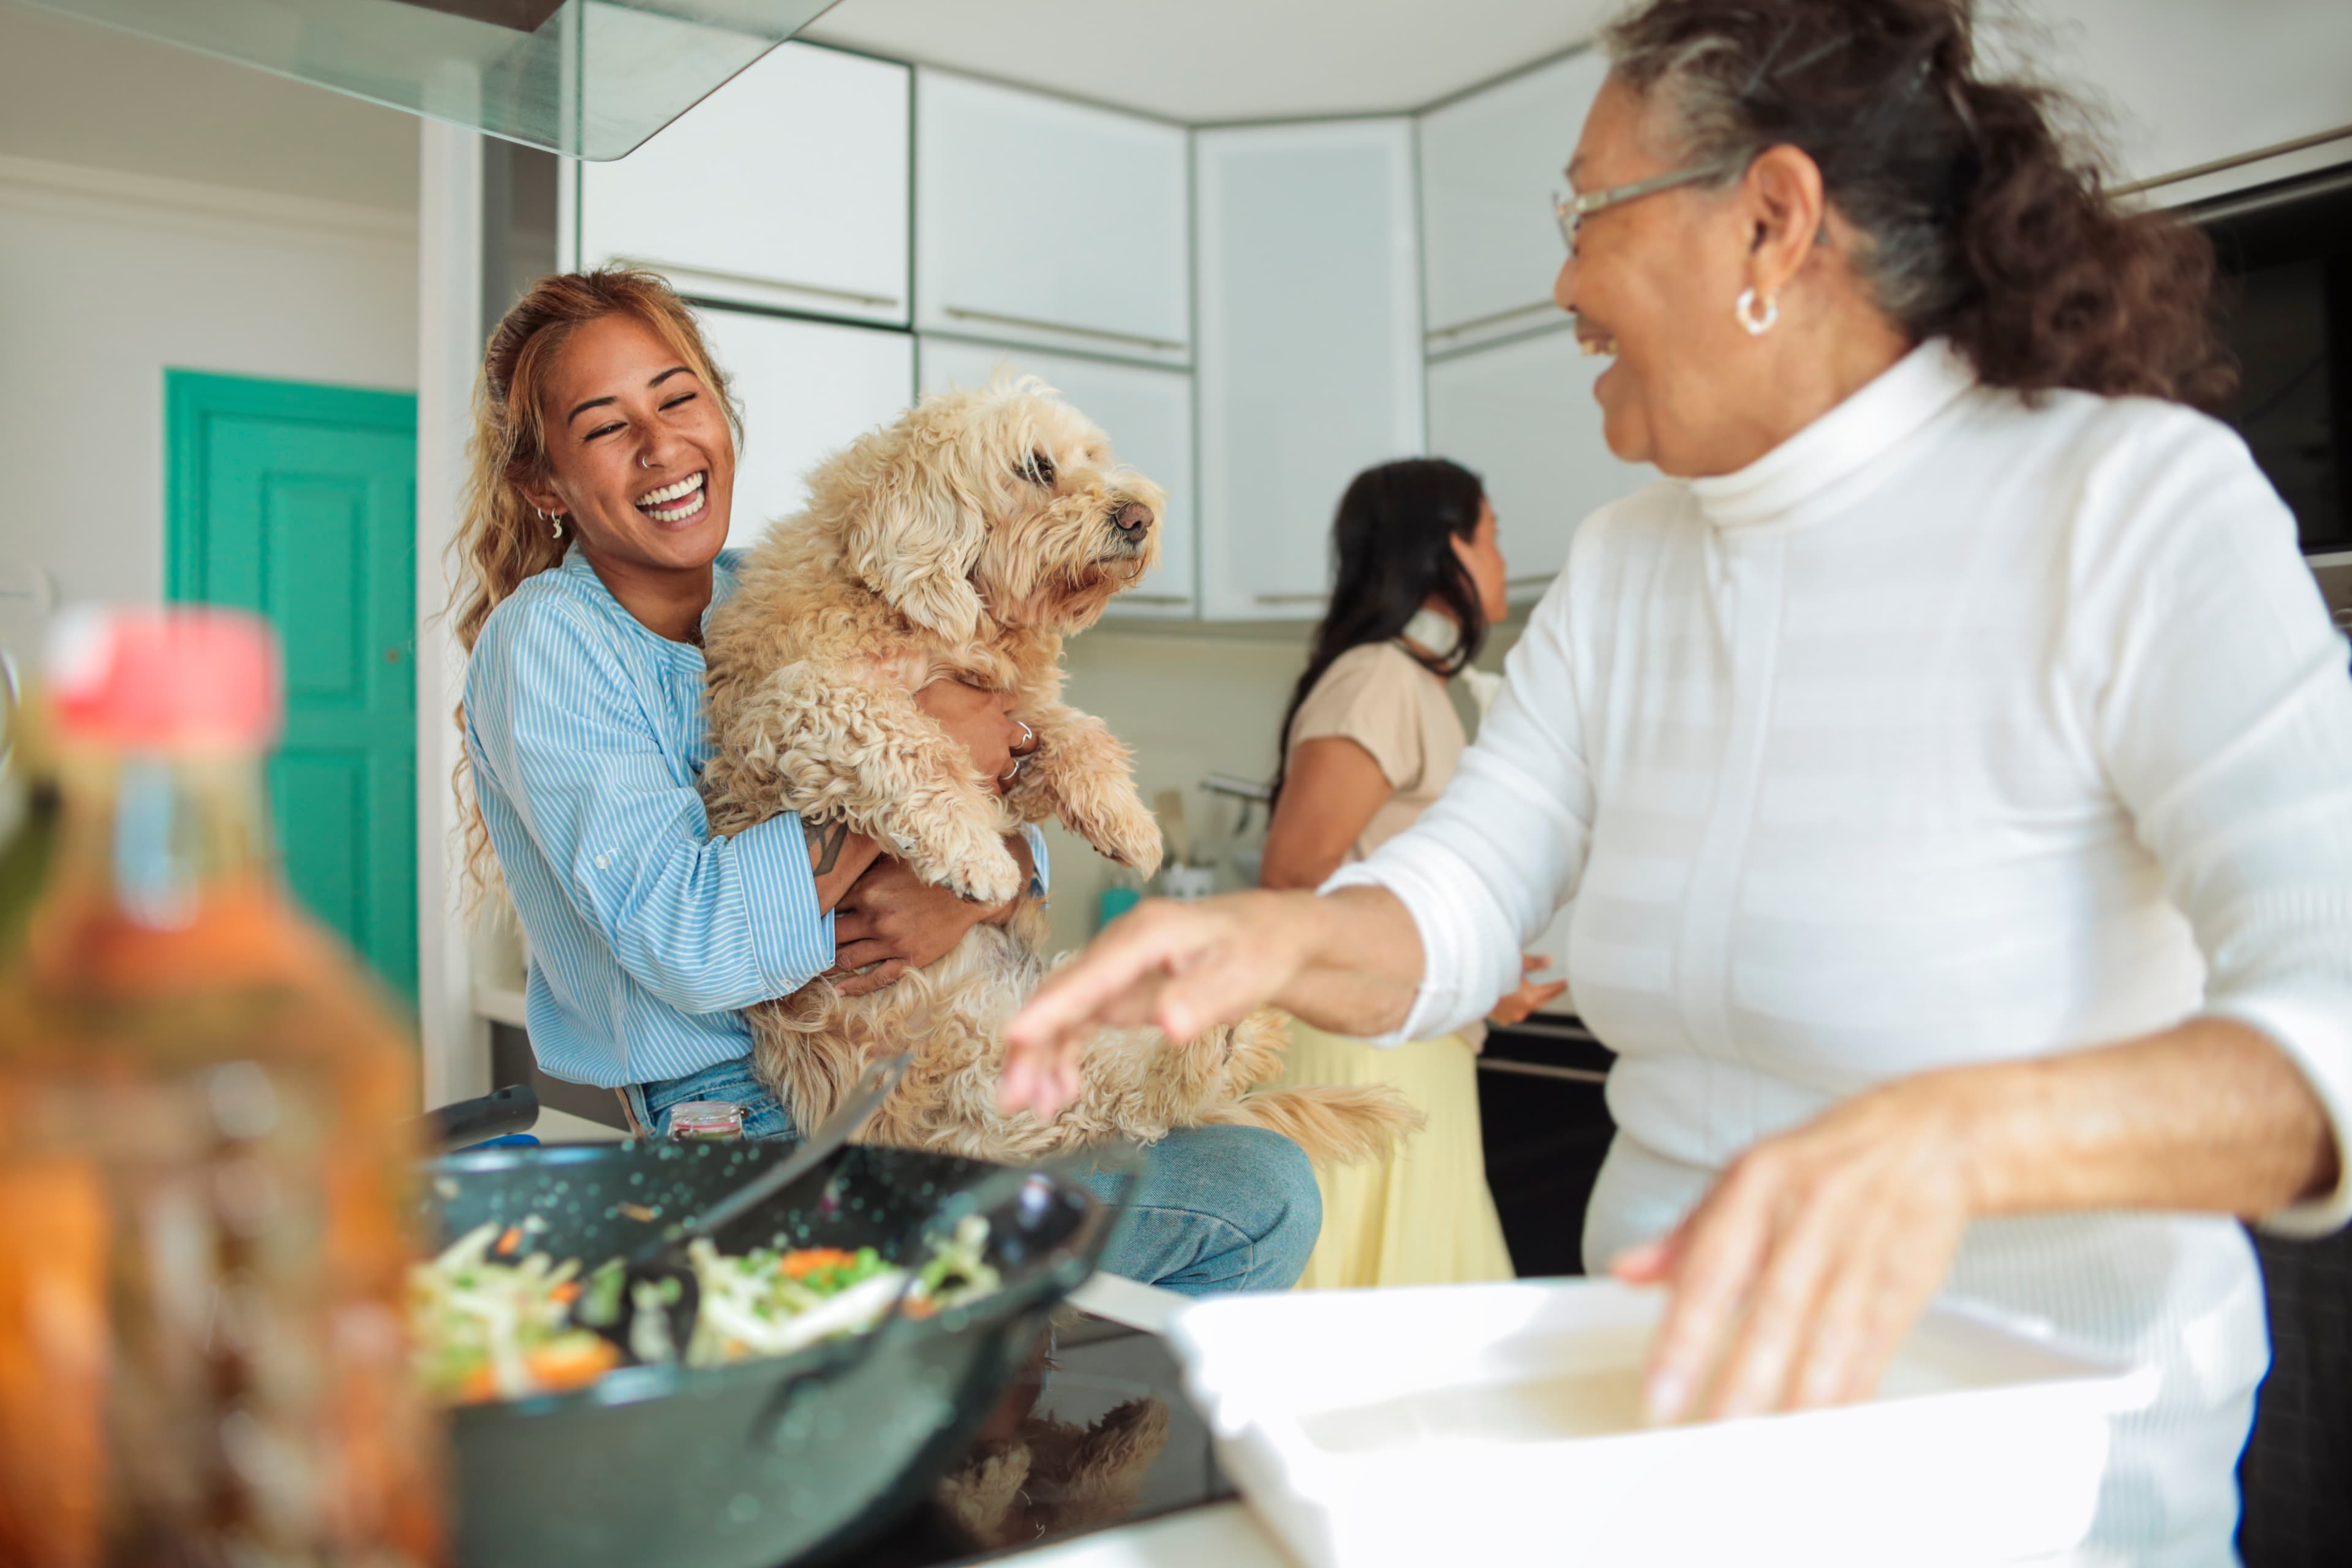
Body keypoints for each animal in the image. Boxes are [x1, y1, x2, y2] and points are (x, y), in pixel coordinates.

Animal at [696, 380, 1411, 1166]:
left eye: (1093, 456)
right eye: (1036, 467)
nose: (1139, 515)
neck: (947, 623)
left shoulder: (1019, 725)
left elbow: (1080, 734)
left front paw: (1131, 826)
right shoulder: (796, 703)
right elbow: (909, 738)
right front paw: (977, 856)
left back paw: (1233, 1020)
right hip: (975, 1070)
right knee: (1141, 1101)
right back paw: (1211, 1035)